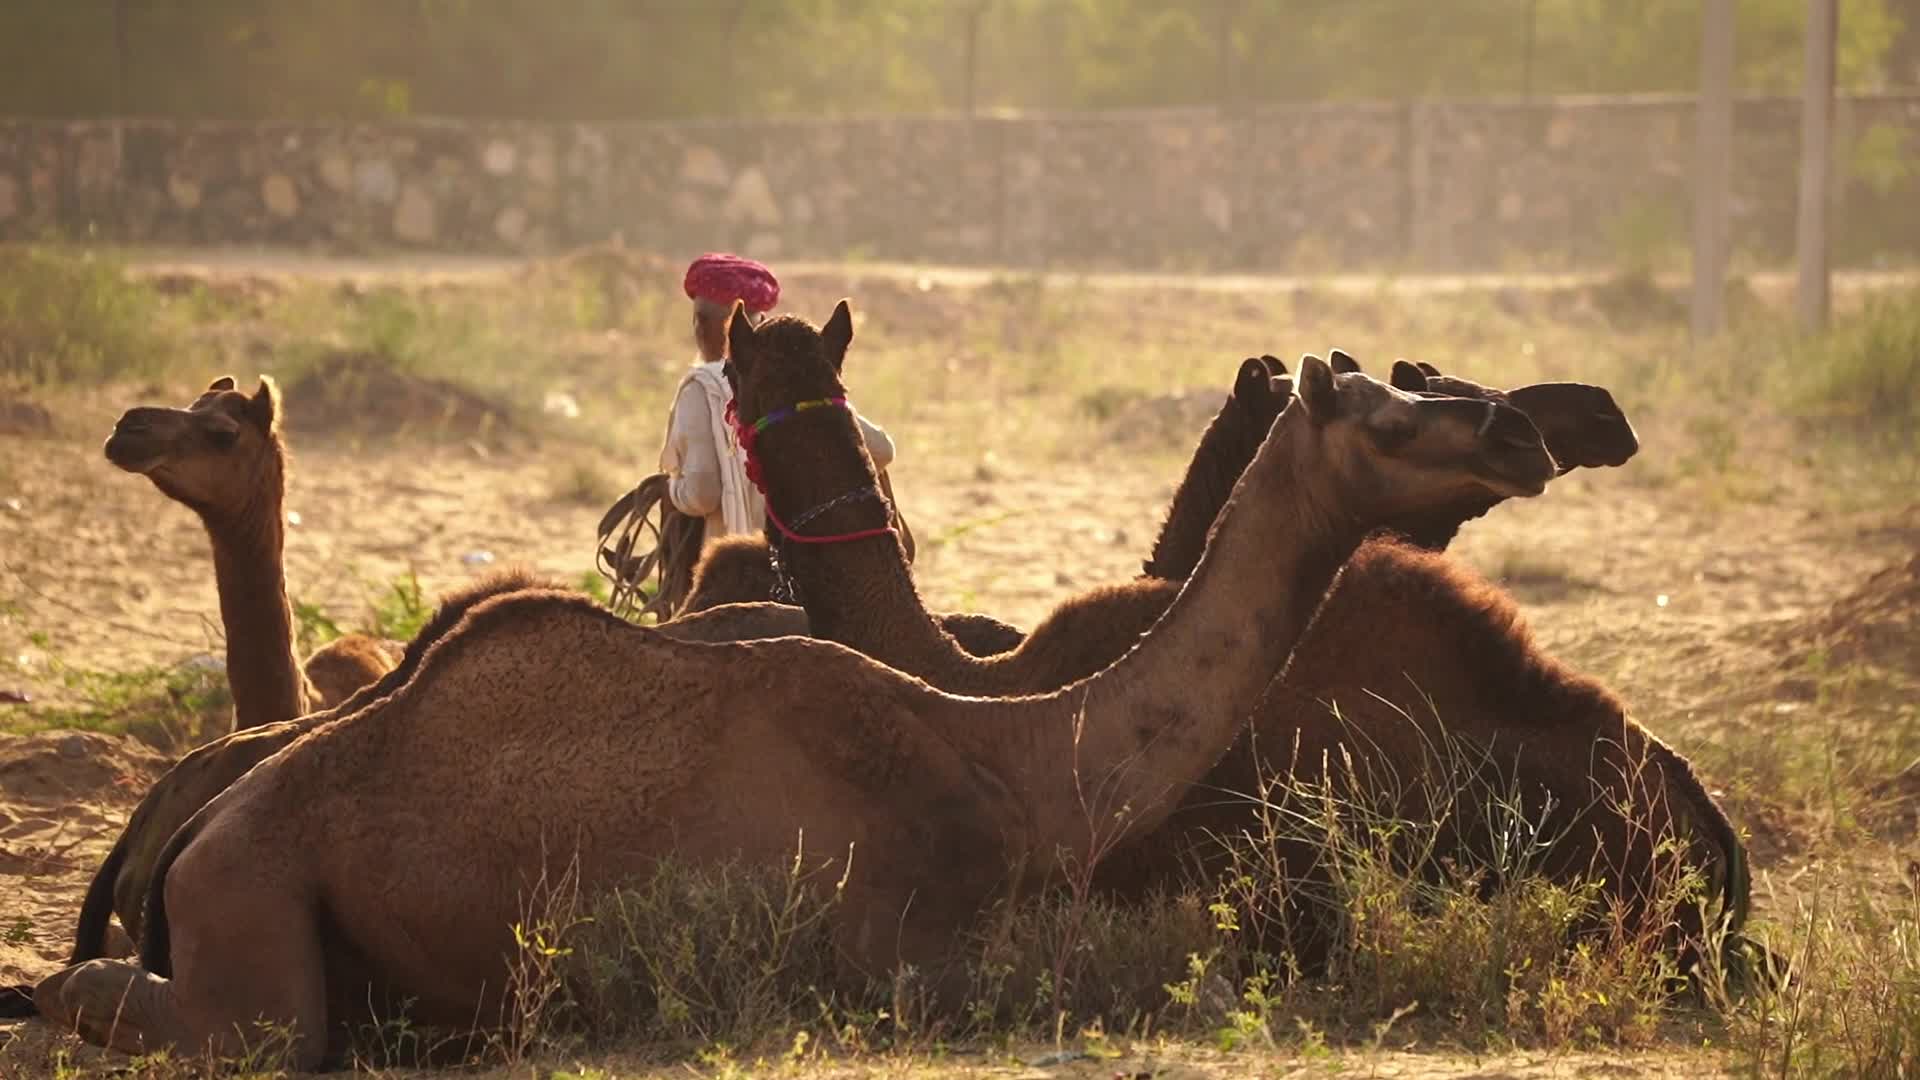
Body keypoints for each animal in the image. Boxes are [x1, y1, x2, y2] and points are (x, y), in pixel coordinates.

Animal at [31, 299, 1558, 1067]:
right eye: (1391, 412)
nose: (1522, 429)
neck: (1010, 756)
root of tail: (197, 831)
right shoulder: (899, 951)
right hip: (255, 929)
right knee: (164, 1013)